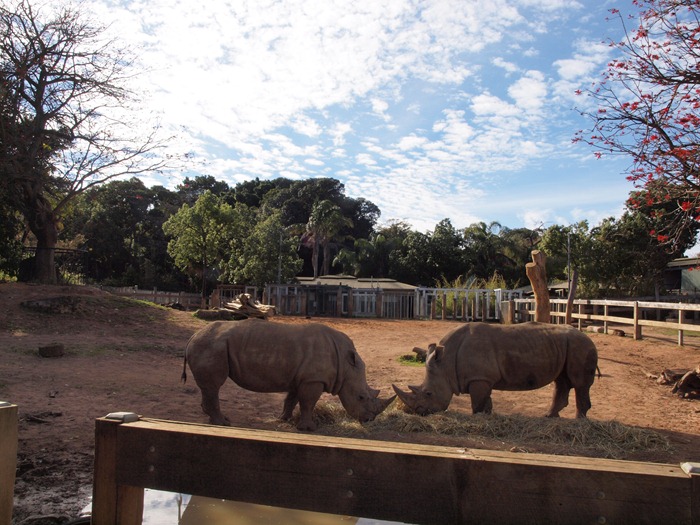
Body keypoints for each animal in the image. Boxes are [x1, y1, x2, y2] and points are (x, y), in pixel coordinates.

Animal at [182, 319, 395, 431]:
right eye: (361, 397)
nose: (369, 420)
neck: (346, 364)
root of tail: (191, 337)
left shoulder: (302, 377)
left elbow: (292, 399)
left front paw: (284, 419)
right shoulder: (313, 379)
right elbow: (308, 402)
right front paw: (309, 428)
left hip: (210, 346)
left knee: (209, 388)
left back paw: (214, 418)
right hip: (211, 346)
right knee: (214, 386)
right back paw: (223, 423)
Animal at [392, 322, 598, 418]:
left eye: (428, 393)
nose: (418, 412)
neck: (446, 362)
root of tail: (587, 337)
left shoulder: (479, 378)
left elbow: (477, 403)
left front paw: (477, 418)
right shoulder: (483, 378)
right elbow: (486, 401)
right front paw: (487, 416)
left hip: (580, 346)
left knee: (579, 384)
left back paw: (579, 421)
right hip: (568, 346)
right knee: (562, 381)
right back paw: (549, 416)